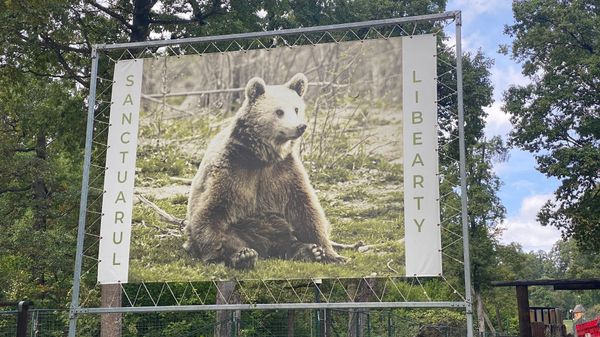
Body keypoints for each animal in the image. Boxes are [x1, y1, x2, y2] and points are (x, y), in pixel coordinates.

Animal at [185, 73, 344, 268]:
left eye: (296, 108)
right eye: (279, 111)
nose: (300, 127)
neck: (263, 157)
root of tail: (265, 246)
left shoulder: (285, 172)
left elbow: (305, 208)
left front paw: (330, 253)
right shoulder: (233, 168)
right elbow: (213, 208)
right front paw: (215, 254)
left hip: (275, 223)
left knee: (286, 236)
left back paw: (308, 250)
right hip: (245, 225)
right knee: (231, 234)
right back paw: (244, 255)